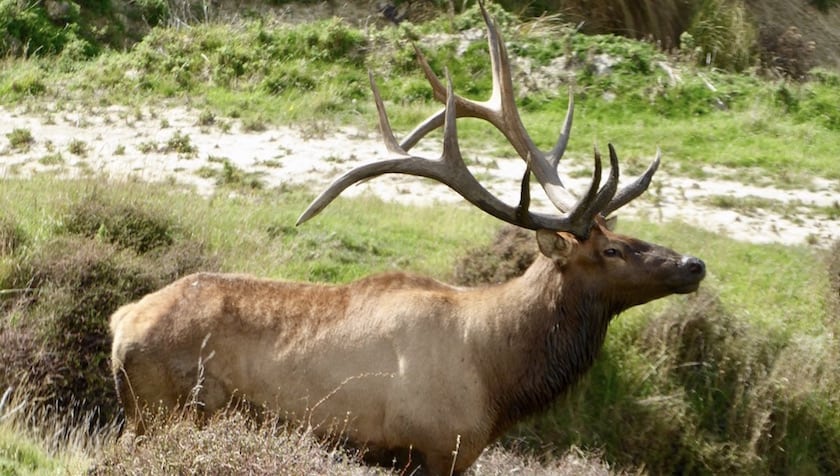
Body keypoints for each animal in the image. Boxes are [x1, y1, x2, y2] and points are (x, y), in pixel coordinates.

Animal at [110, 2, 704, 472]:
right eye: (612, 250)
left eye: (628, 232)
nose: (694, 264)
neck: (498, 380)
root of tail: (119, 325)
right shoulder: (437, 447)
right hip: (161, 412)